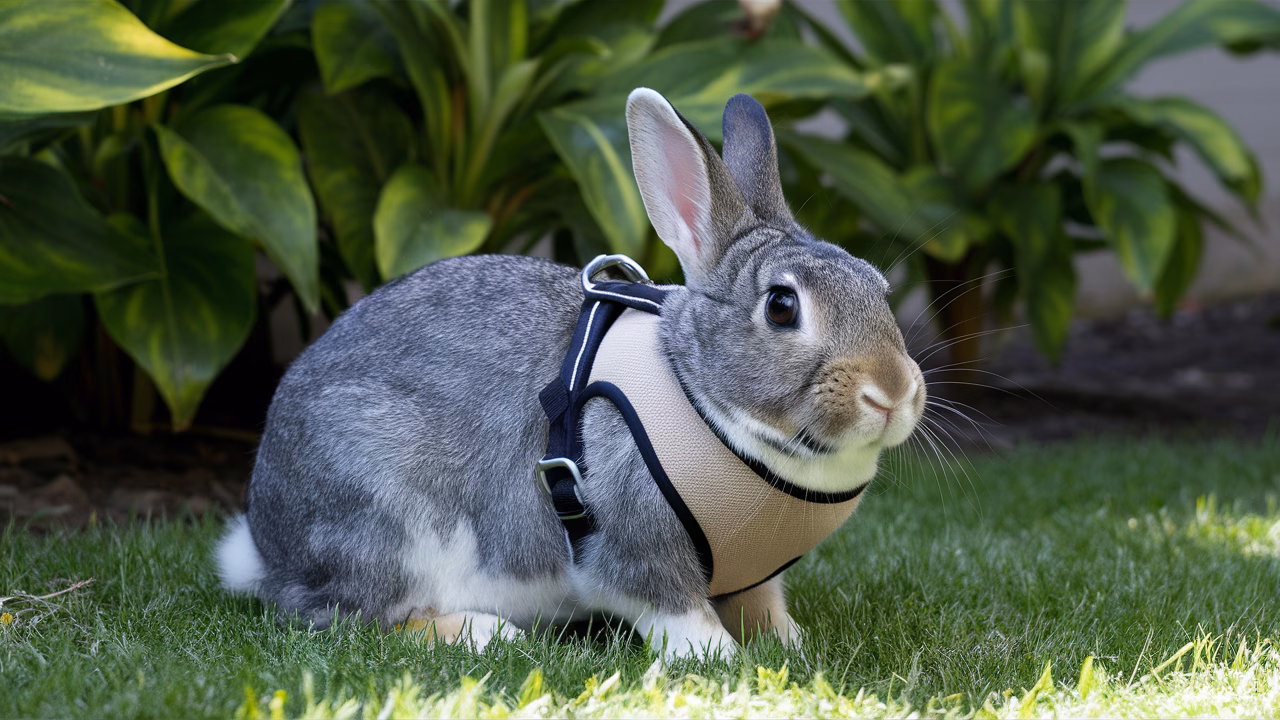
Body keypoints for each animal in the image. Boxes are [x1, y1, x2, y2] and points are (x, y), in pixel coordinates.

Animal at [216, 87, 925, 660]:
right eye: (782, 307)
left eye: (878, 286)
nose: (894, 393)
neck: (701, 396)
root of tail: (266, 544)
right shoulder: (632, 548)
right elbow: (675, 609)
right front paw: (721, 660)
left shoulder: (755, 576)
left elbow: (764, 609)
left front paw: (790, 646)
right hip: (384, 513)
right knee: (351, 616)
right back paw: (483, 633)